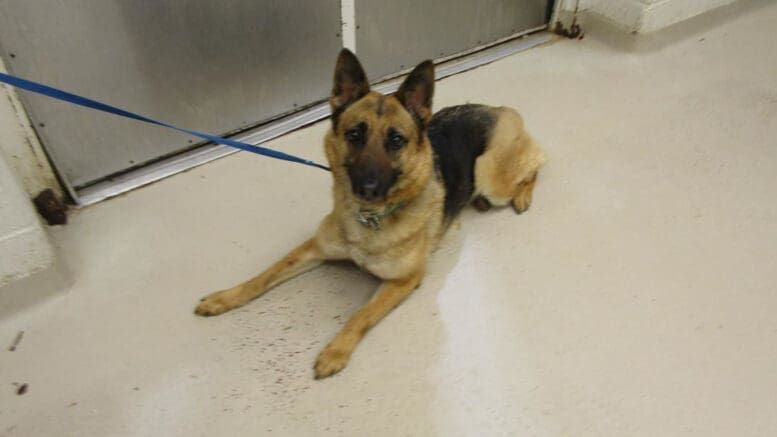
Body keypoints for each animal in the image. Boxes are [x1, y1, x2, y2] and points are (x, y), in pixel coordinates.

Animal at [197, 48, 544, 378]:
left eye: (396, 140)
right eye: (354, 134)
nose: (368, 188)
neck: (370, 219)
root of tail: (497, 109)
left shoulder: (404, 280)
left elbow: (360, 314)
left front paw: (336, 352)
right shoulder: (314, 247)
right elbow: (265, 275)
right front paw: (225, 298)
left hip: (489, 173)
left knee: (537, 162)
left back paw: (522, 196)